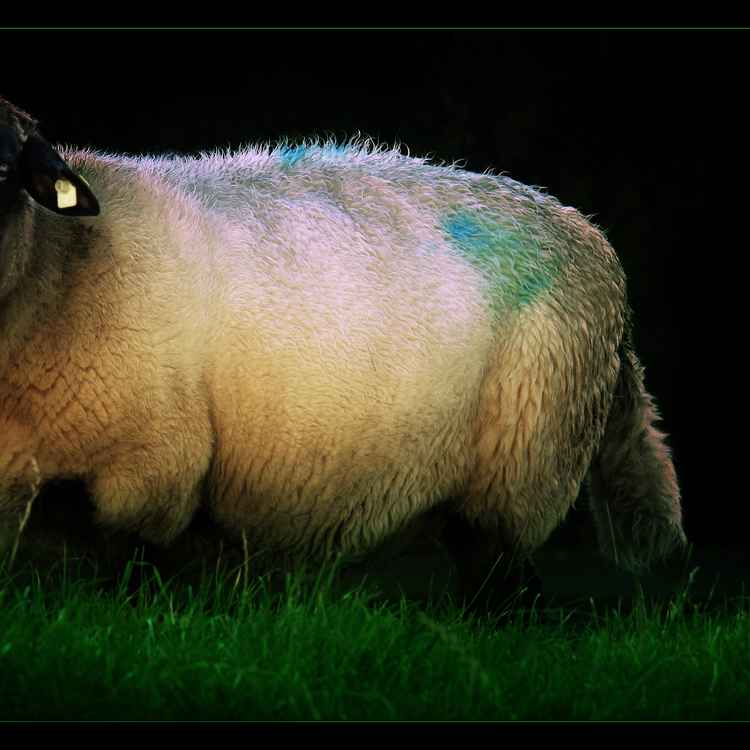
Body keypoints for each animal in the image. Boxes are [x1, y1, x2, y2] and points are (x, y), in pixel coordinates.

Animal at [0, 96, 685, 605]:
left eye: (8, 174)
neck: (61, 268)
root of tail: (592, 238)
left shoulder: (150, 471)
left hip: (519, 472)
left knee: (507, 594)